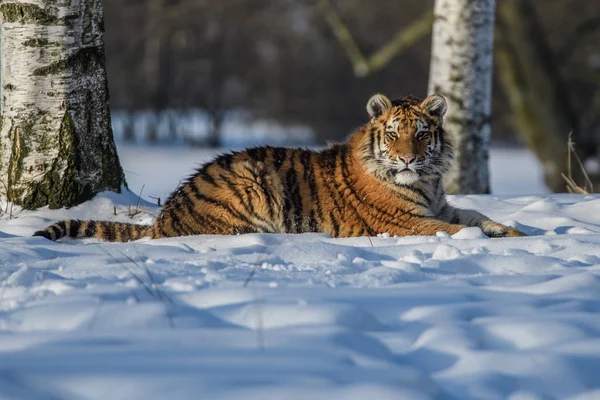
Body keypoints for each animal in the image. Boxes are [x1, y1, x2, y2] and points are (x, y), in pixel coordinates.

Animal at [35, 94, 528, 242]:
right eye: (393, 134)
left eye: (423, 134)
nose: (407, 156)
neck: (425, 181)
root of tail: (164, 218)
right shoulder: (405, 222)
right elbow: (457, 229)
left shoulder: (440, 206)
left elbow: (476, 214)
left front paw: (517, 231)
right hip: (251, 182)